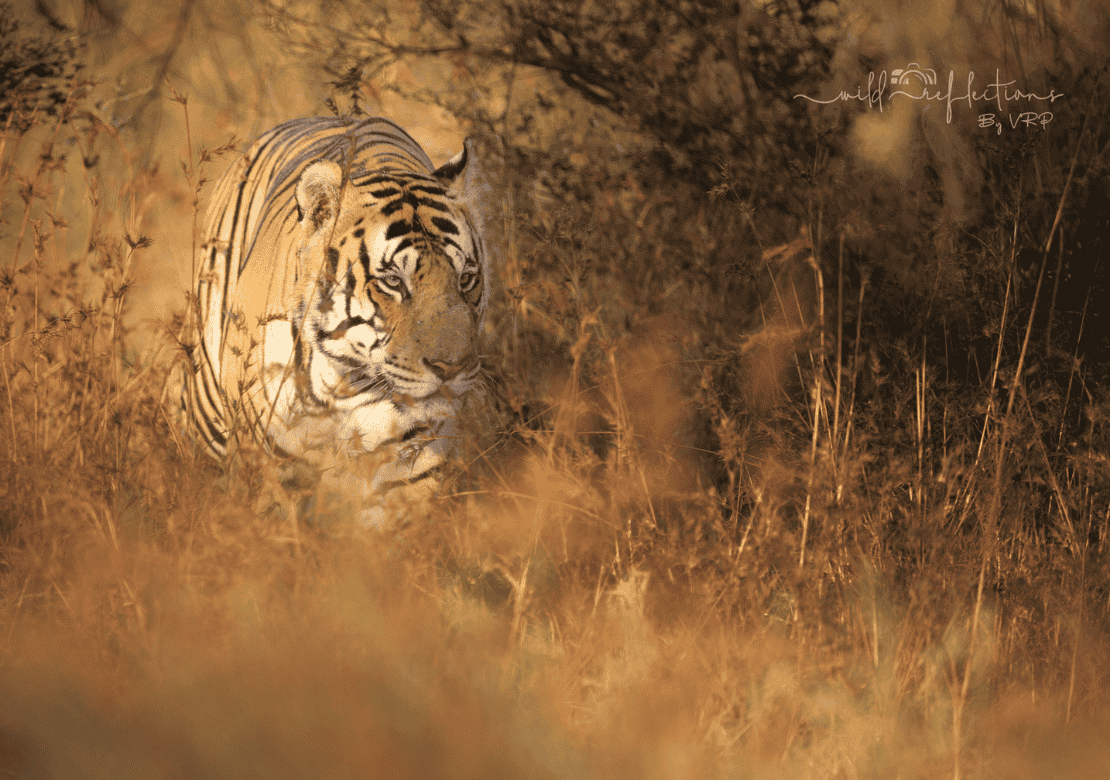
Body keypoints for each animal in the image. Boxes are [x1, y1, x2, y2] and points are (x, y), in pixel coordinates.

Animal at [175, 116, 494, 528]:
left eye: (466, 279)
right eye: (394, 282)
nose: (451, 368)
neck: (346, 385)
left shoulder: (413, 458)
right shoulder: (268, 458)